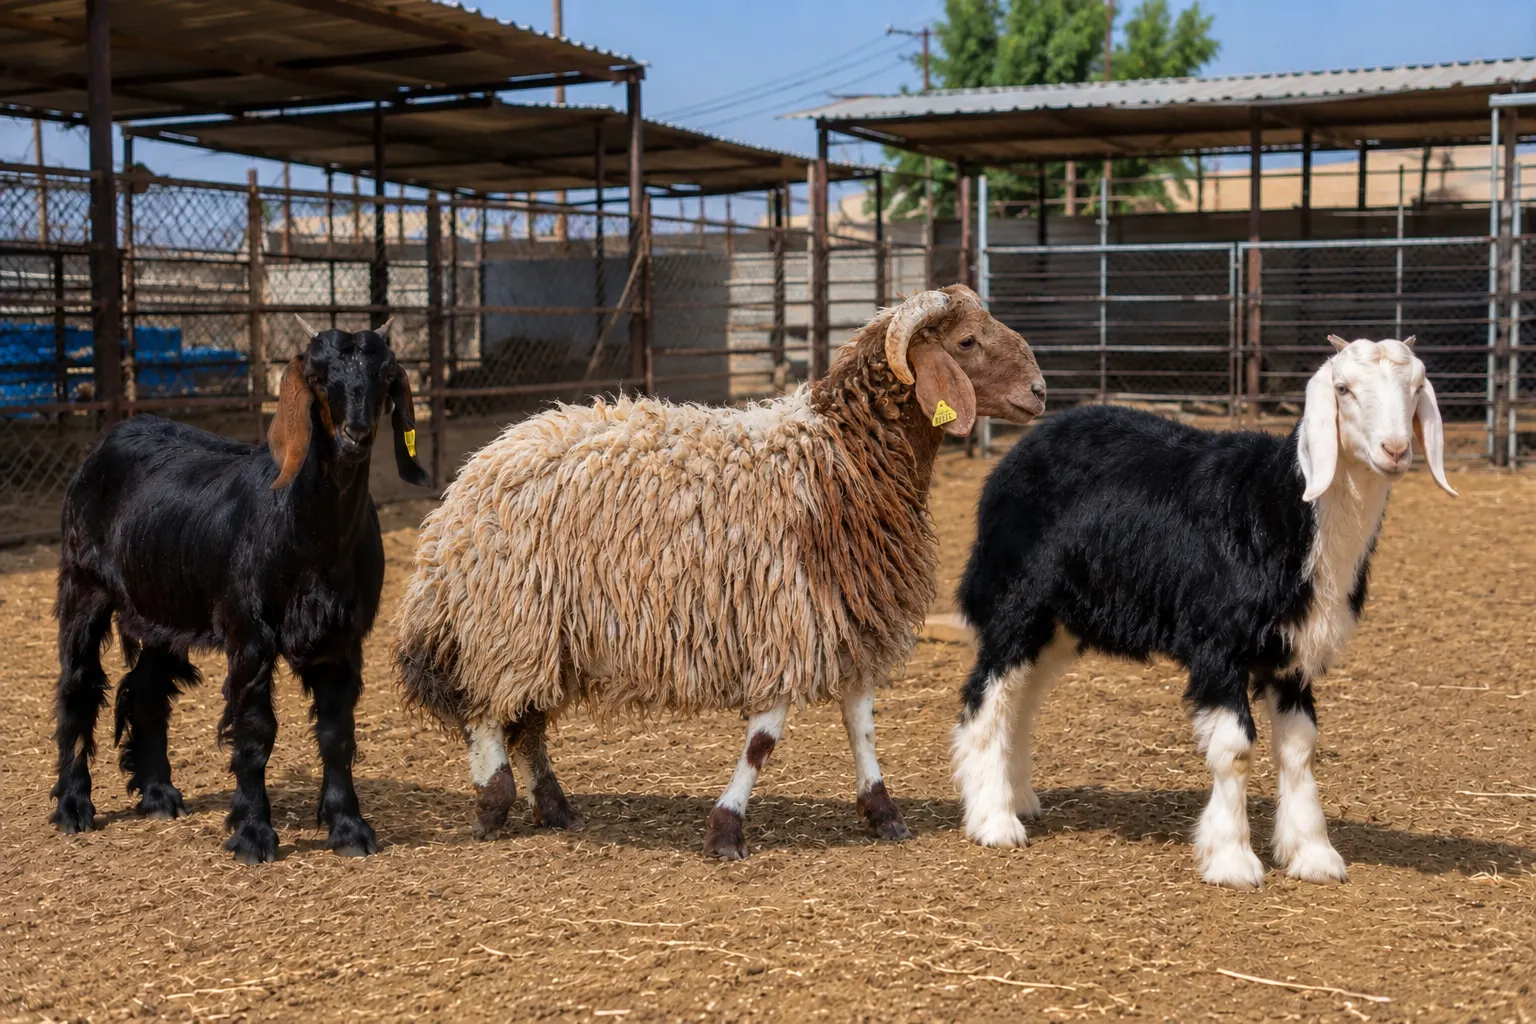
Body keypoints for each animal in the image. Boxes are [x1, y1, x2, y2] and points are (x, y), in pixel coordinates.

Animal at [50, 318, 428, 864]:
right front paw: (253, 835)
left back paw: (159, 795)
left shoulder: (342, 638)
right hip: (85, 585)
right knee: (78, 686)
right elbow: (255, 732)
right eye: (319, 377)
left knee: (146, 689)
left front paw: (349, 829)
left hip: (166, 606)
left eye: (384, 375)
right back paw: (73, 807)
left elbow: (337, 734)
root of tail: (107, 441)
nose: (355, 434)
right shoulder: (248, 633)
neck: (310, 537)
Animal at [394, 285, 1047, 858]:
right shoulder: (787, 621)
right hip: (507, 617)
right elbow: (764, 740)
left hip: (550, 632)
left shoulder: (848, 614)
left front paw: (883, 812)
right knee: (486, 707)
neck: (840, 458)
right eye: (966, 341)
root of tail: (473, 475)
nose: (1040, 392)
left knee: (526, 721)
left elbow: (859, 723)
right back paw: (493, 802)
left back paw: (554, 807)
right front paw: (726, 829)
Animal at [953, 335, 1456, 888]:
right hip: (1017, 600)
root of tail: (1021, 450)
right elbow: (1234, 751)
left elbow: (1301, 748)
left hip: (1062, 621)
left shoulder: (1293, 656)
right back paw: (994, 820)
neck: (1282, 507)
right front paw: (1232, 860)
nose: (1395, 450)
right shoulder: (1219, 645)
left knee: (1022, 701)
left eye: (1416, 388)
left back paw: (1019, 798)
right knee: (987, 697)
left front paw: (1313, 854)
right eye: (1342, 389)